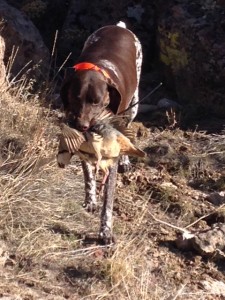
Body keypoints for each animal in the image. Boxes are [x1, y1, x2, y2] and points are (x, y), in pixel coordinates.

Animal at [59, 21, 142, 244]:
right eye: (75, 97)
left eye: (96, 101)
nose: (81, 125)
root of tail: (119, 26)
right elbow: (88, 175)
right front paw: (91, 200)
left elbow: (108, 203)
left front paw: (106, 231)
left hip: (133, 106)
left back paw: (125, 161)